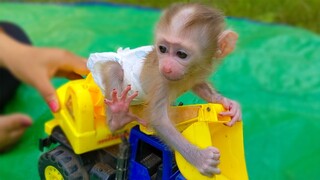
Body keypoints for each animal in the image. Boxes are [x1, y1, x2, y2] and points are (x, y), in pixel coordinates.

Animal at [87, 2, 240, 177]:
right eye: (162, 49)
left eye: (181, 54)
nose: (166, 67)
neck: (188, 74)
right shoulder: (161, 81)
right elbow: (158, 119)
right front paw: (200, 159)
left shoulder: (196, 74)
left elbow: (200, 86)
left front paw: (227, 104)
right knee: (114, 68)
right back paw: (118, 116)